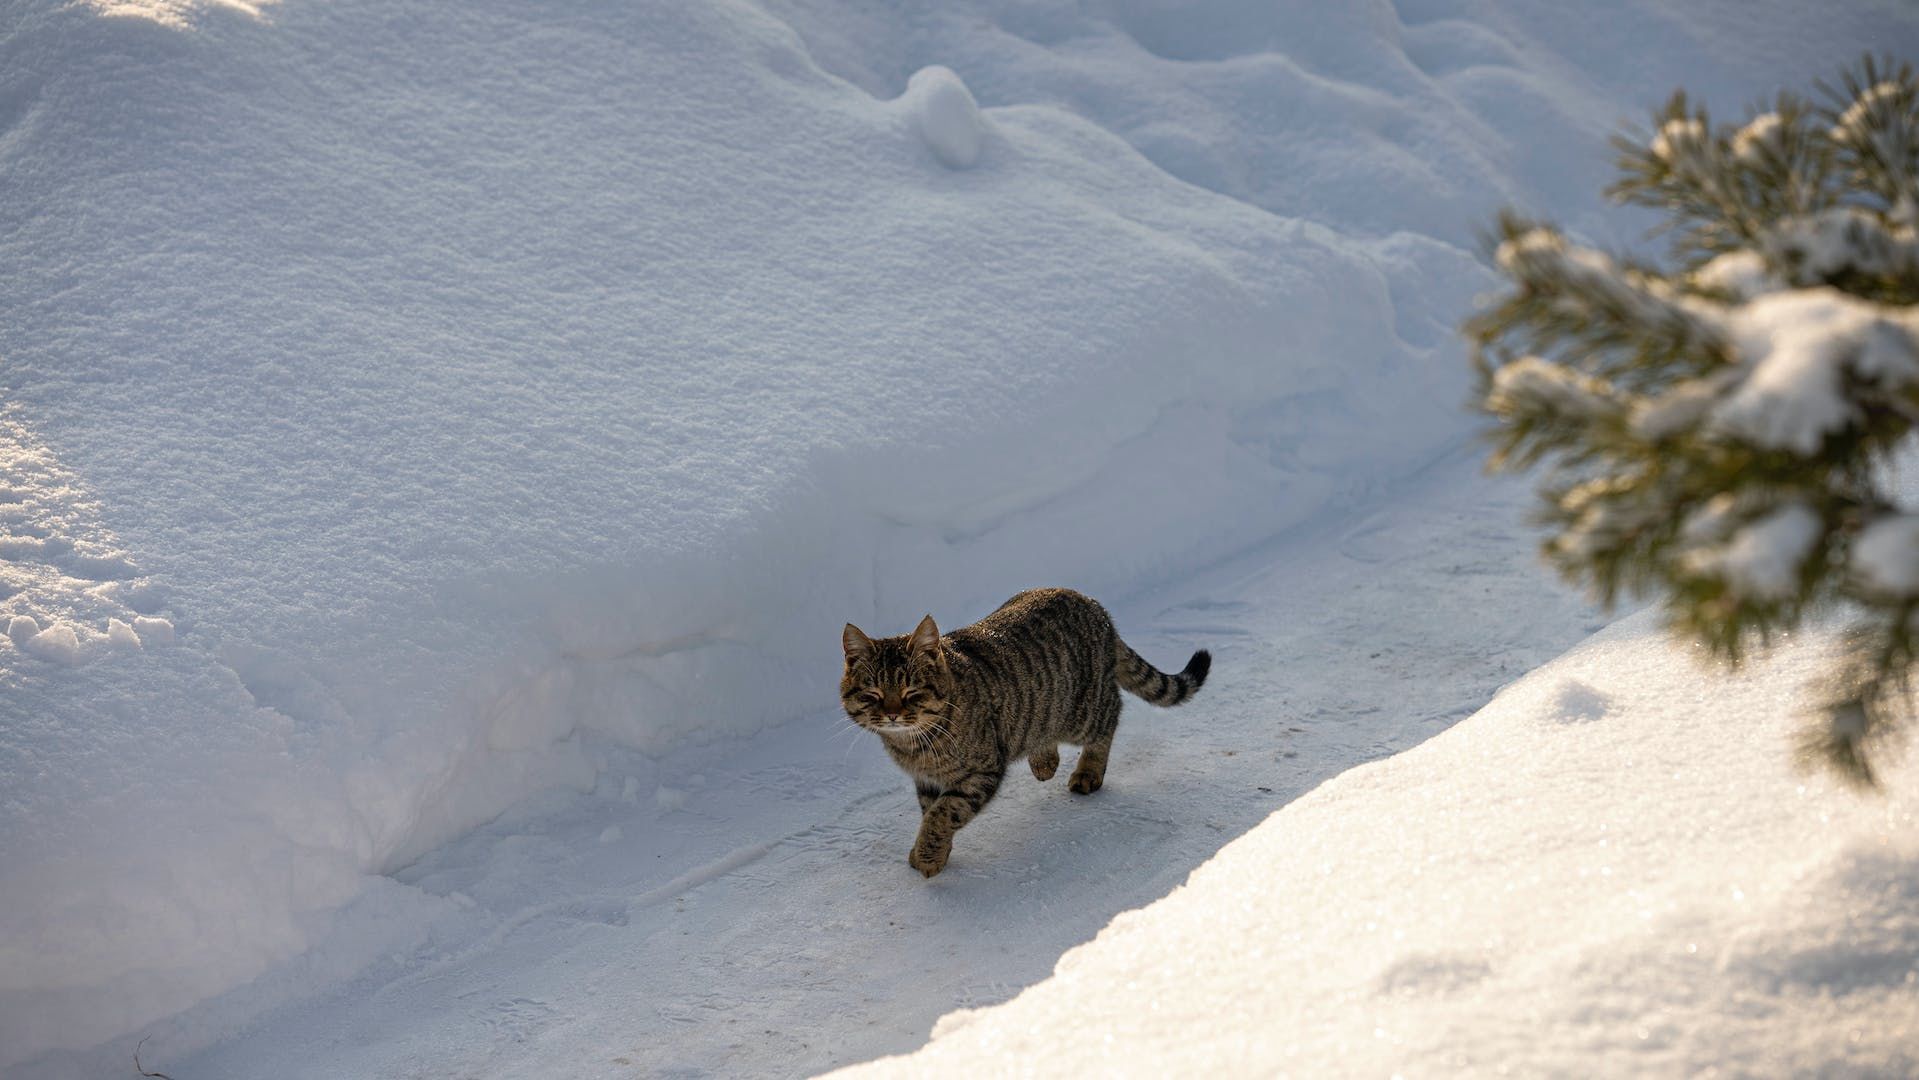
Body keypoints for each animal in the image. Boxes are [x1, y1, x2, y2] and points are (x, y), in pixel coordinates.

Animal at [836, 590, 1205, 878]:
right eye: (873, 694)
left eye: (911, 692)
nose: (892, 714)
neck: (914, 743)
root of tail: (1096, 608)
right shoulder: (927, 781)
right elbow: (931, 812)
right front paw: (934, 850)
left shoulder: (981, 771)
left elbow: (943, 813)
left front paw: (928, 855)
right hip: (1043, 713)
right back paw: (1044, 761)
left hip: (1081, 712)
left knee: (1111, 713)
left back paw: (1088, 771)